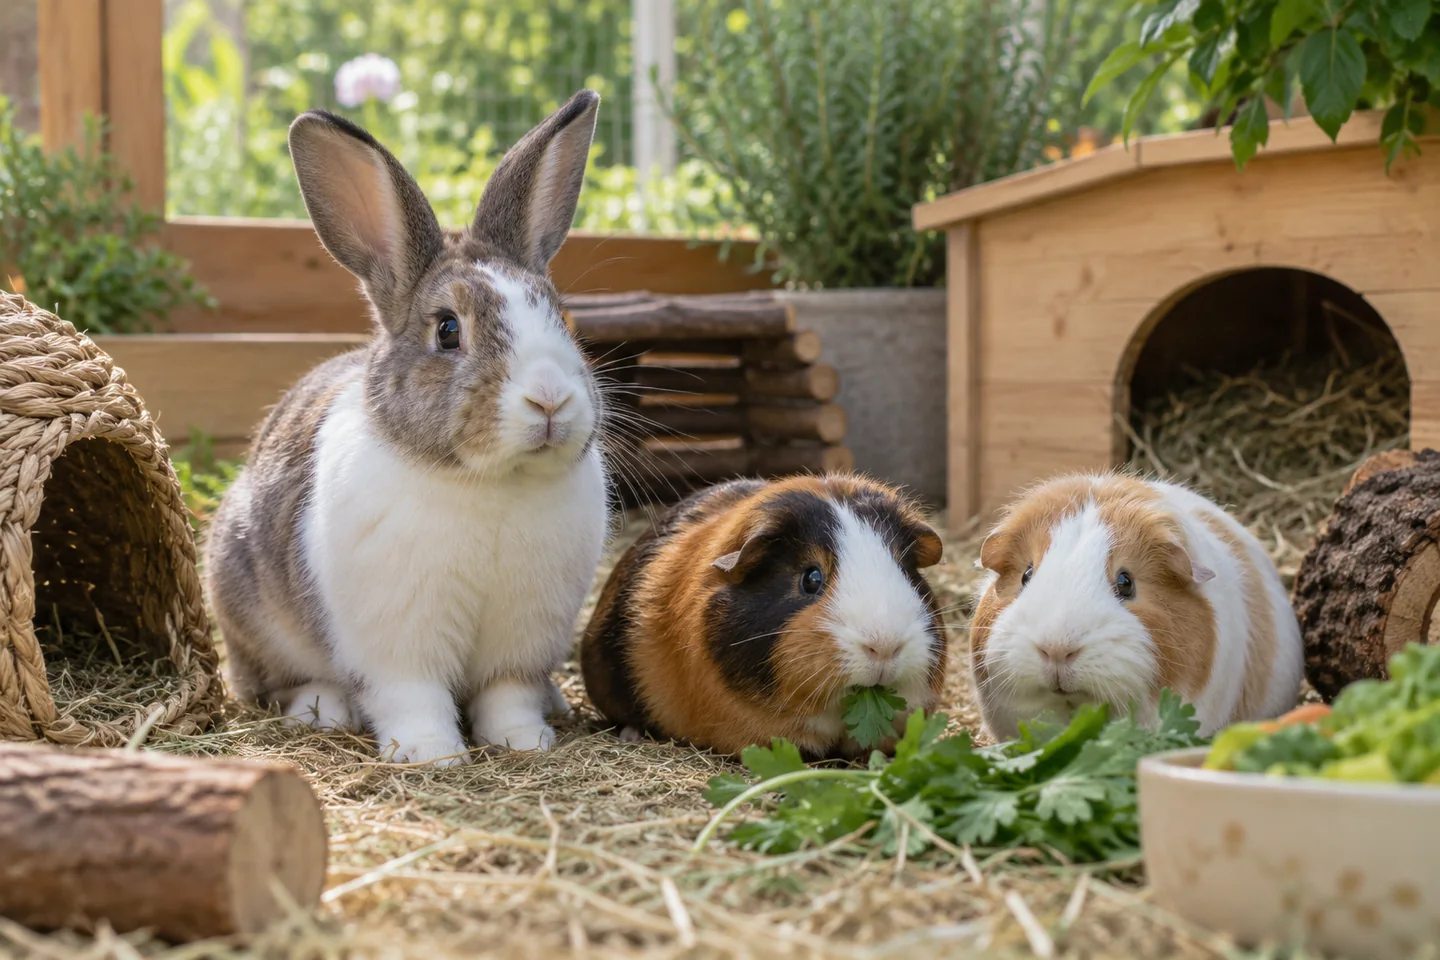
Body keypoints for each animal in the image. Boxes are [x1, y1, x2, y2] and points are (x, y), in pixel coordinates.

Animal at [203, 90, 610, 766]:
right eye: (448, 329)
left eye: (562, 318)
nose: (550, 400)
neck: (492, 485)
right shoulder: (397, 643)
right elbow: (413, 696)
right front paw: (430, 754)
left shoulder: (521, 642)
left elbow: (508, 694)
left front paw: (525, 741)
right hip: (248, 605)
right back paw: (322, 710)